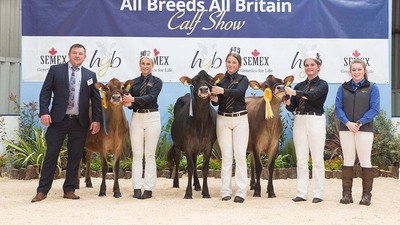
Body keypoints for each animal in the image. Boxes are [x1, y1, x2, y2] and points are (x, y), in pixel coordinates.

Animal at [166, 70, 222, 199]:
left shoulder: (208, 146)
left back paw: (197, 185)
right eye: (195, 80)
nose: (204, 89)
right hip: (177, 145)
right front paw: (188, 193)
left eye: (211, 80)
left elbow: (204, 168)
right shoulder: (188, 145)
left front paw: (206, 192)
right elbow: (190, 168)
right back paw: (176, 183)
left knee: (196, 162)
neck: (200, 122)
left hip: (196, 148)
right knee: (177, 161)